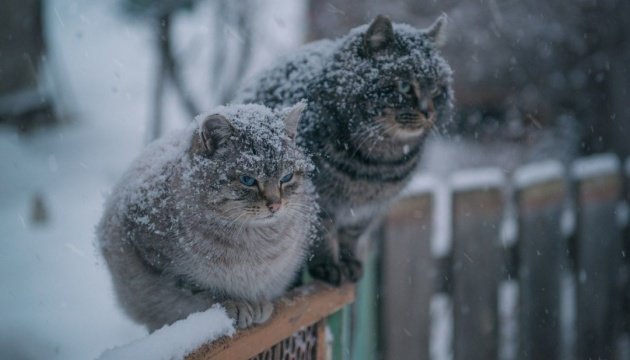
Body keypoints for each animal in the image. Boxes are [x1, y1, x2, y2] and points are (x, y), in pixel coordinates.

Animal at [97, 102, 318, 330]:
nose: (275, 205)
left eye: (287, 177)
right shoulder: (159, 262)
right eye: (247, 180)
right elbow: (200, 289)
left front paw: (257, 303)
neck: (253, 242)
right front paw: (236, 303)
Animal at [235, 15, 452, 286]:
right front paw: (329, 266)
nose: (428, 112)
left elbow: (351, 236)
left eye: (436, 89)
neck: (378, 163)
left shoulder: (367, 210)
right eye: (404, 86)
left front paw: (349, 262)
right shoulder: (319, 199)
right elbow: (323, 234)